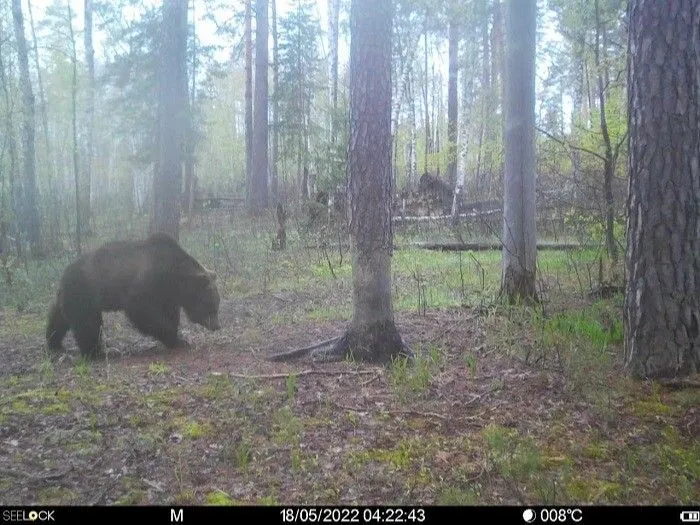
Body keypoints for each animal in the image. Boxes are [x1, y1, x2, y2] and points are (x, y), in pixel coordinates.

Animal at [45, 232, 220, 358]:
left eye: (217, 304)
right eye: (212, 305)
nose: (217, 326)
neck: (174, 276)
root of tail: (63, 275)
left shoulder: (167, 295)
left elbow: (170, 314)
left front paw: (177, 338)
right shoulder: (147, 282)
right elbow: (141, 310)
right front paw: (177, 339)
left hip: (67, 298)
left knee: (58, 319)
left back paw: (54, 342)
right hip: (84, 292)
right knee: (88, 324)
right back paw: (99, 352)